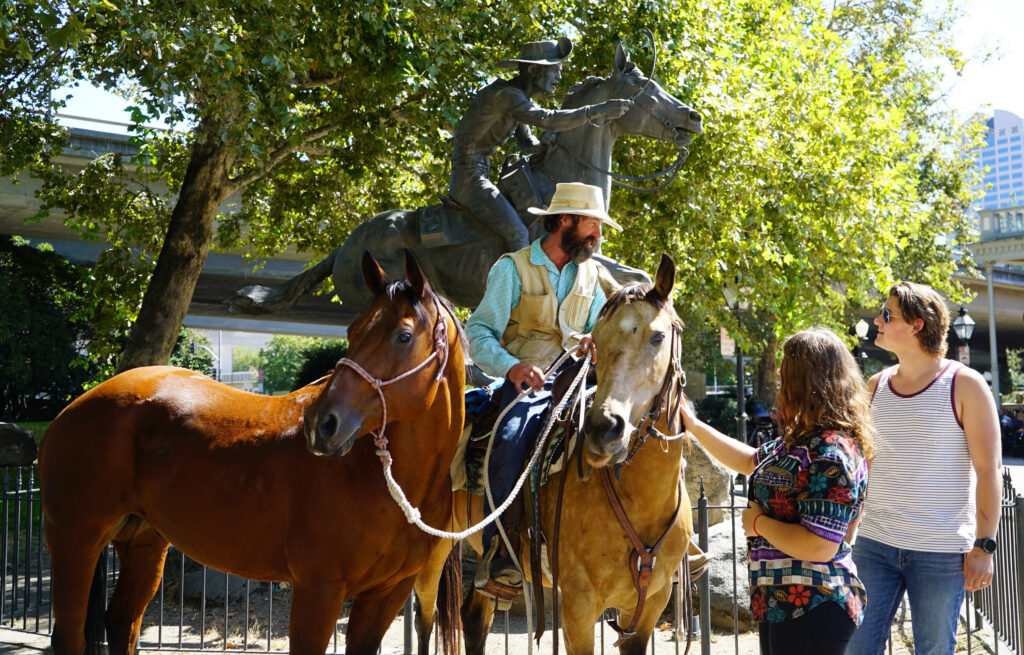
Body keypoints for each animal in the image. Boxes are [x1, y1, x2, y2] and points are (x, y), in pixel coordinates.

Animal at [39, 250, 464, 655]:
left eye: (404, 336)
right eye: (352, 330)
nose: (321, 423)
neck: (390, 483)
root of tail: (76, 407)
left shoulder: (387, 593)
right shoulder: (319, 590)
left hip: (143, 543)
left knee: (122, 623)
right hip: (75, 540)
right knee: (70, 637)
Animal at [419, 254, 708, 655]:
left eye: (658, 336)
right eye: (597, 341)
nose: (604, 428)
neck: (639, 498)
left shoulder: (651, 605)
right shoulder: (577, 607)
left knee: (474, 617)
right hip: (431, 549)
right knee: (425, 617)